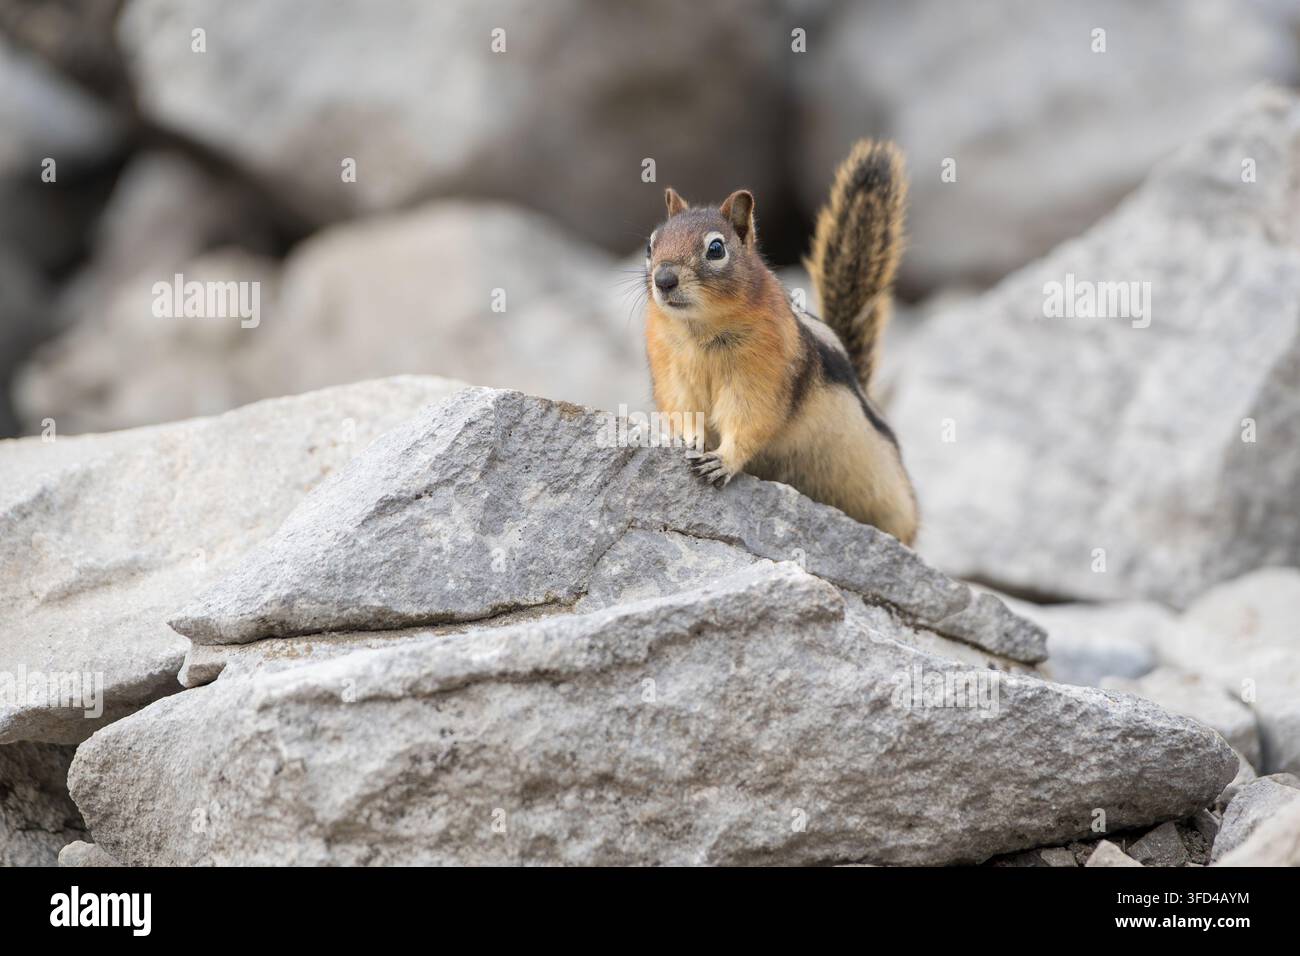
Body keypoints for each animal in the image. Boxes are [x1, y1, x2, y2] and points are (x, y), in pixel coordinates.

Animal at [643, 139, 918, 545]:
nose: (663, 280)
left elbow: (750, 418)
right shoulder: (671, 370)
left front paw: (721, 461)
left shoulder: (762, 375)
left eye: (715, 249)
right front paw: (688, 440)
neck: (700, 330)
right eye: (651, 245)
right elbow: (683, 407)